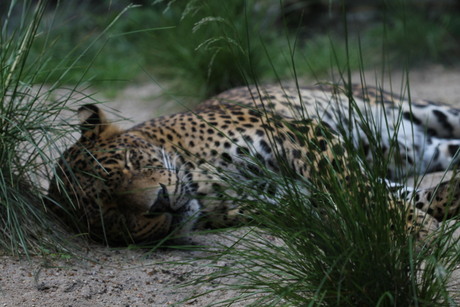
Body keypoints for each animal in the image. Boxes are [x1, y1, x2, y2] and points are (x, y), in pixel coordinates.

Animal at [45, 83, 460, 247]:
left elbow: (354, 187)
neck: (199, 178)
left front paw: (412, 225)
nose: (159, 202)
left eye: (131, 162)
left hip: (426, 109)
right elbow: (377, 195)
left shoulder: (298, 133)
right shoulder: (283, 200)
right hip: (425, 150)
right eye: (110, 214)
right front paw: (434, 207)